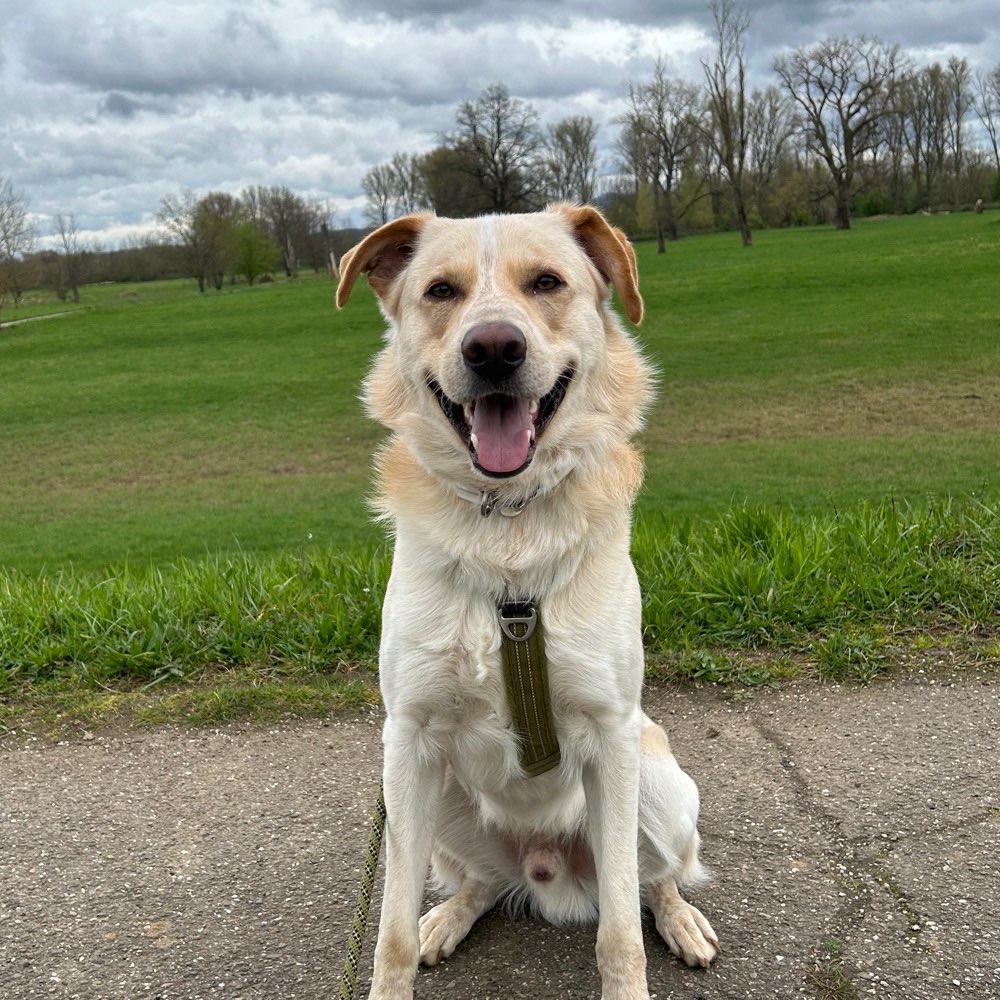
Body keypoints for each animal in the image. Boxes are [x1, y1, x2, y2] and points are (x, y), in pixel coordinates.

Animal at [338, 203, 720, 1000]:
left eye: (547, 282)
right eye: (441, 291)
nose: (493, 349)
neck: (507, 526)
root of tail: (547, 870)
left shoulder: (611, 733)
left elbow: (619, 933)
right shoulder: (408, 742)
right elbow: (388, 934)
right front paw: (403, 953)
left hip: (659, 789)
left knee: (652, 880)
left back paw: (679, 918)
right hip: (436, 810)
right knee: (478, 882)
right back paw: (448, 917)